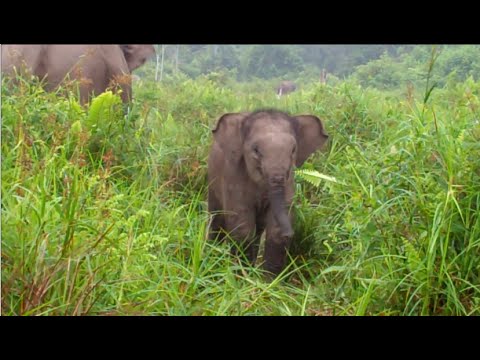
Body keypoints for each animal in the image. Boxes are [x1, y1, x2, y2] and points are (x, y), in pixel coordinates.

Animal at [206, 108, 330, 278]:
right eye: (256, 150)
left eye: (293, 150)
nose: (291, 234)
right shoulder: (233, 176)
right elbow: (242, 227)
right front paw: (243, 278)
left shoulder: (289, 181)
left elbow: (275, 231)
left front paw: (267, 282)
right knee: (216, 219)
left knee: (258, 229)